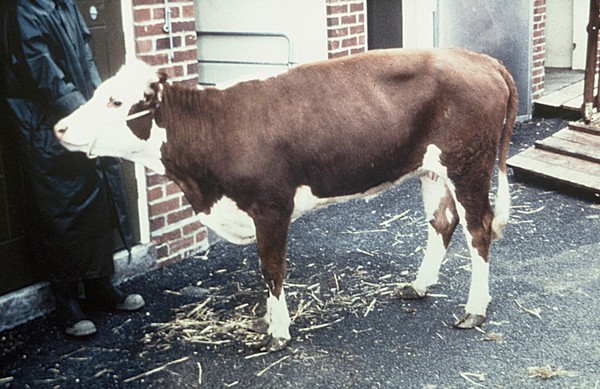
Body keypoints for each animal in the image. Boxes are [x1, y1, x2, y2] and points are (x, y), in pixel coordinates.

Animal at [54, 48, 516, 352]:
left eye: (115, 101)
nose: (59, 128)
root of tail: (478, 58)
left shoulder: (271, 207)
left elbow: (271, 269)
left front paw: (278, 331)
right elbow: (266, 273)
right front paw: (265, 320)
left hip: (467, 165)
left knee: (478, 230)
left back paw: (474, 309)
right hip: (431, 170)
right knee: (443, 223)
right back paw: (419, 286)